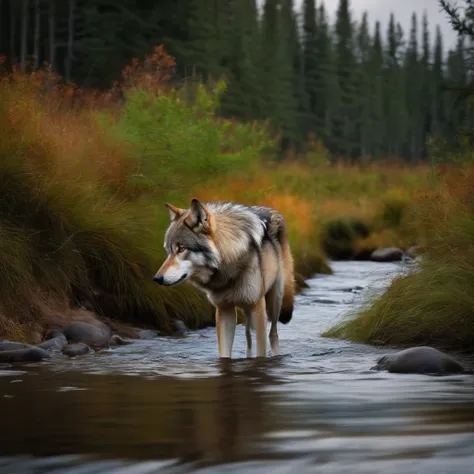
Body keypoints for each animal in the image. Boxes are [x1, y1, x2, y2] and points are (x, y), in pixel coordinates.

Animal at [153, 198, 292, 358]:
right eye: (168, 251)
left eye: (181, 249)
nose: (157, 278)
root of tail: (273, 210)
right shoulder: (224, 310)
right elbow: (224, 353)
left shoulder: (257, 307)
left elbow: (261, 352)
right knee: (248, 338)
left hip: (274, 302)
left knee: (273, 334)